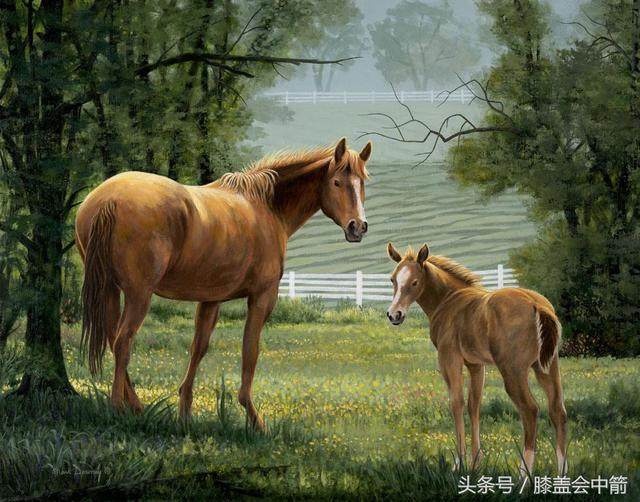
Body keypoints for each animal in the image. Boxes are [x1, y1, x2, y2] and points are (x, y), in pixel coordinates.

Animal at [75, 137, 372, 430]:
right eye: (337, 182)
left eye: (362, 183)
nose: (357, 227)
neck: (267, 207)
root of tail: (109, 199)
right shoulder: (262, 297)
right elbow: (250, 351)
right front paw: (254, 419)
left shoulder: (211, 299)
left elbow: (198, 348)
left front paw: (185, 416)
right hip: (139, 294)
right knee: (123, 341)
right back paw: (118, 409)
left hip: (110, 288)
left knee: (113, 336)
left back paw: (135, 406)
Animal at [385, 243, 568, 477]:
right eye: (393, 279)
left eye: (415, 282)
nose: (394, 315)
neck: (449, 300)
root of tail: (538, 305)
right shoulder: (475, 364)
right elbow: (474, 404)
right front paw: (475, 462)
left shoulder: (449, 359)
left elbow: (457, 403)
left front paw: (459, 462)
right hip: (546, 367)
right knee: (558, 411)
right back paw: (562, 474)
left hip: (513, 372)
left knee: (530, 410)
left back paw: (523, 475)